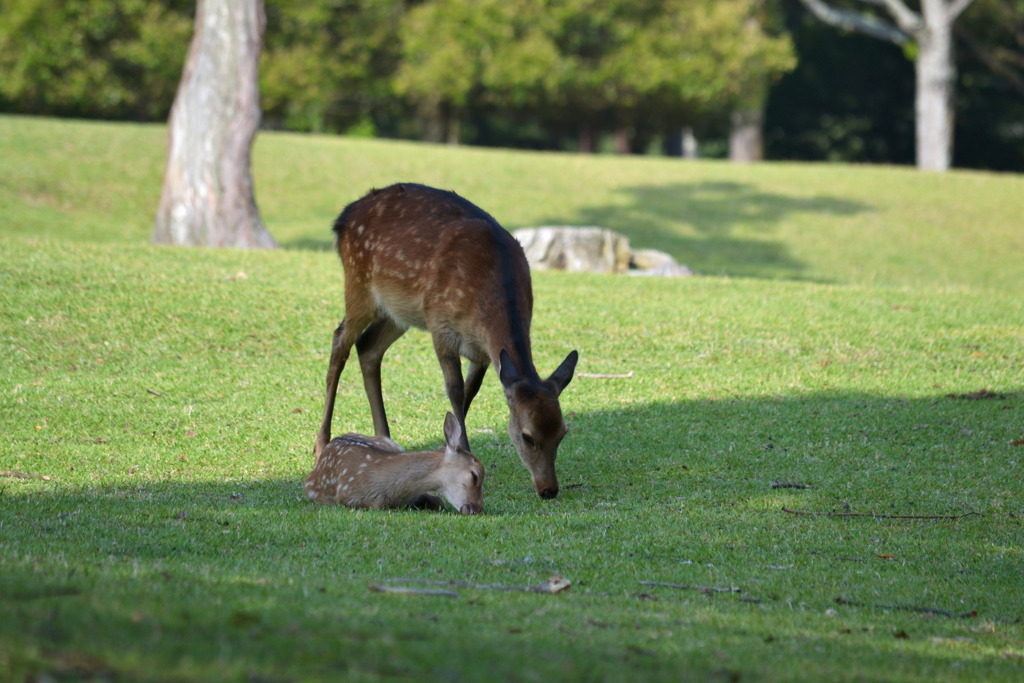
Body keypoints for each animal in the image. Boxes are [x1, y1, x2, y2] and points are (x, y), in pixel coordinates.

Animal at [315, 184, 581, 499]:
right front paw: (465, 453)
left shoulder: (482, 352)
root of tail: (343, 217)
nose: (548, 489)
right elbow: (454, 390)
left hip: (399, 311)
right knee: (340, 341)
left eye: (562, 432)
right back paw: (321, 443)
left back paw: (385, 441)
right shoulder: (441, 326)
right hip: (359, 284)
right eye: (527, 436)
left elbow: (469, 392)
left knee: (368, 347)